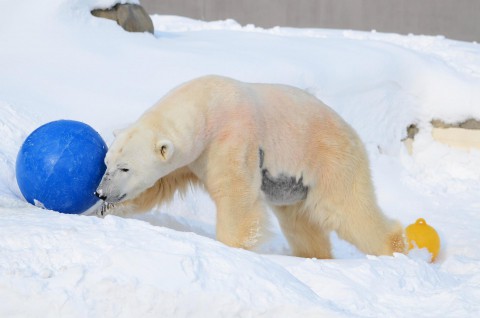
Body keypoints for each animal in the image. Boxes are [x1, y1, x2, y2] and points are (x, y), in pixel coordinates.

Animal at [96, 76, 404, 260]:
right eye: (107, 163)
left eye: (125, 168)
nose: (101, 192)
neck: (207, 102)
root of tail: (352, 133)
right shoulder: (190, 157)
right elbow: (158, 186)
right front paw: (104, 211)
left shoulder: (233, 137)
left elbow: (235, 194)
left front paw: (233, 248)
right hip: (292, 186)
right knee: (300, 223)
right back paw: (313, 256)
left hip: (330, 160)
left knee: (346, 209)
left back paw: (394, 247)